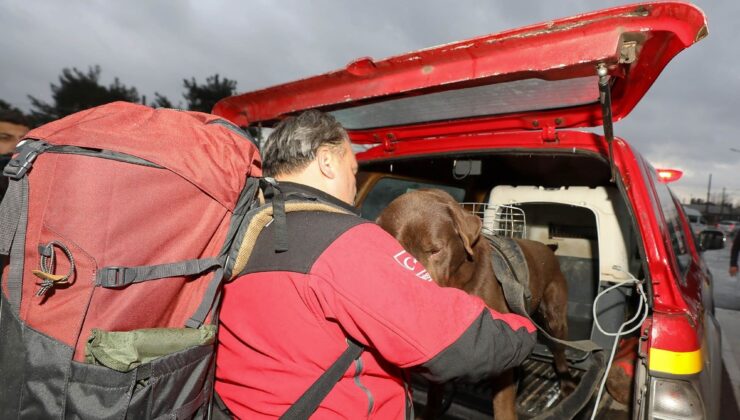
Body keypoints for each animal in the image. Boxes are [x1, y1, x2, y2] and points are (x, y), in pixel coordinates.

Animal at [378, 189, 576, 420]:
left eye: (435, 250)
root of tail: (547, 249)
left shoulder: (502, 342)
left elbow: (502, 402)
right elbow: (436, 389)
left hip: (555, 316)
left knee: (559, 351)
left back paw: (567, 383)